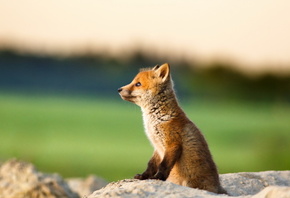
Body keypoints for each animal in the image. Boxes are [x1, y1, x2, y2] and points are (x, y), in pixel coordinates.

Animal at [118, 63, 227, 193]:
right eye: (133, 81)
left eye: (138, 84)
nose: (118, 89)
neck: (157, 120)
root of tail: (218, 187)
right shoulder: (157, 147)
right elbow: (151, 165)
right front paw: (144, 176)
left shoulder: (173, 143)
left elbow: (164, 165)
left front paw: (158, 178)